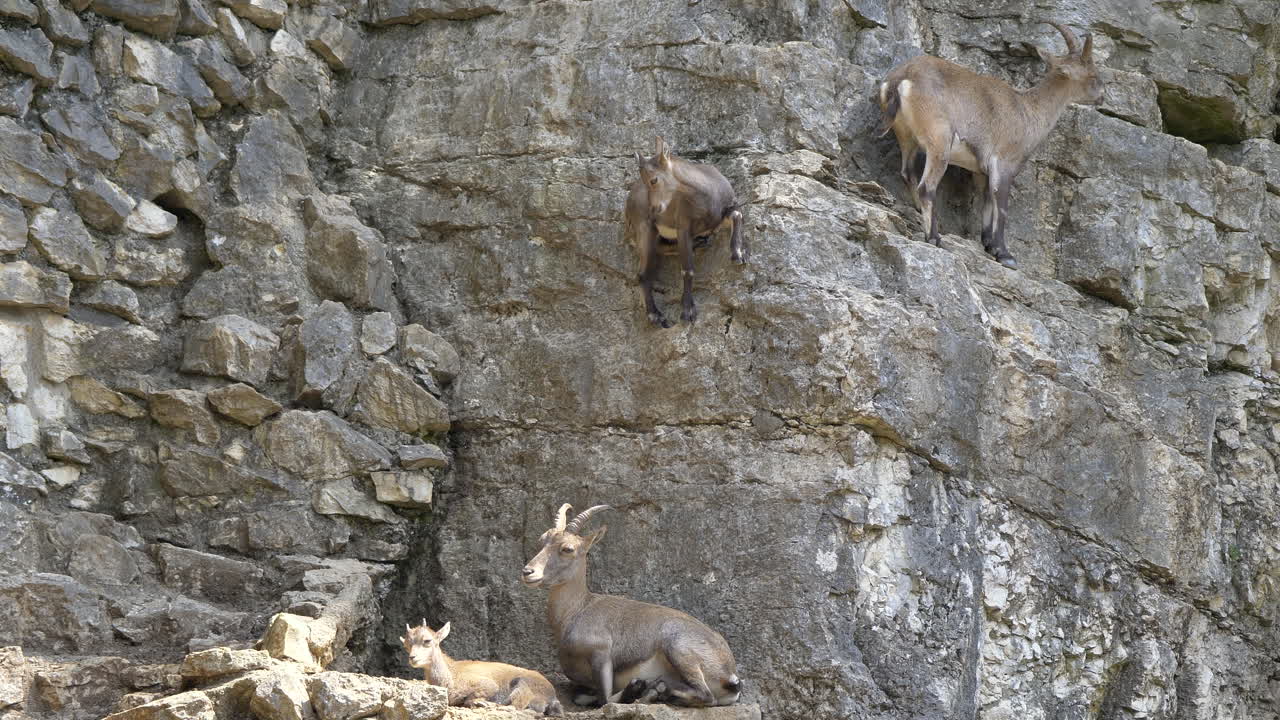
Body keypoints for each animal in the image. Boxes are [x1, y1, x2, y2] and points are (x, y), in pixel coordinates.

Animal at [401, 620, 564, 716]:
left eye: (427, 640)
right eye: (407, 645)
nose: (412, 658)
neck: (450, 675)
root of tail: (552, 695)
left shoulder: (487, 684)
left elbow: (471, 699)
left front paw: (481, 702)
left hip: (523, 684)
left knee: (519, 706)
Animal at [521, 503, 741, 708]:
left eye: (568, 549)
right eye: (542, 540)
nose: (528, 572)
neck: (577, 611)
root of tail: (731, 675)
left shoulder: (602, 655)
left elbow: (605, 699)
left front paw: (636, 687)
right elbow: (582, 697)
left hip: (678, 647)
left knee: (706, 696)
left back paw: (653, 690)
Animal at [625, 137, 745, 328]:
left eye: (653, 180)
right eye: (644, 181)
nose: (653, 211)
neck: (705, 194)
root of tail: (628, 206)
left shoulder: (723, 212)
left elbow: (737, 214)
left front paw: (737, 254)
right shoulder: (683, 227)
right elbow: (687, 270)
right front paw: (688, 311)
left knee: (661, 249)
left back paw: (700, 243)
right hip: (645, 229)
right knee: (643, 274)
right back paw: (656, 315)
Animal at [878, 22, 1103, 269]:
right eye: (1093, 75)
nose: (1102, 96)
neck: (1028, 110)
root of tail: (902, 79)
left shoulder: (981, 170)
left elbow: (986, 202)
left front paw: (989, 244)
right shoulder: (1003, 162)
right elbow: (1001, 205)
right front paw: (1005, 254)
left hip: (907, 137)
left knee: (907, 173)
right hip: (940, 142)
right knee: (926, 187)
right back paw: (934, 238)